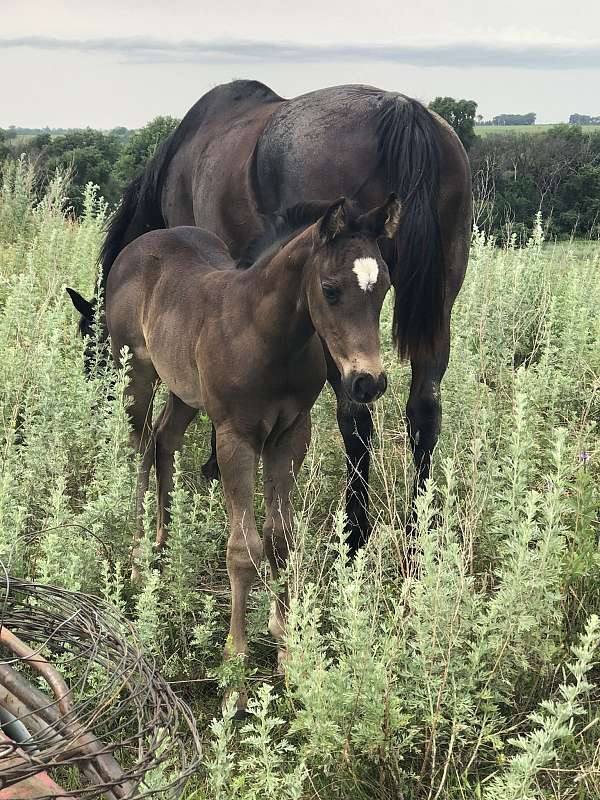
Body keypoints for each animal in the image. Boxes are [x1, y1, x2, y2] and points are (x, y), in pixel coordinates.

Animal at [68, 79, 472, 553]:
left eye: (89, 351)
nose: (101, 413)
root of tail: (402, 111)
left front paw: (212, 466)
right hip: (439, 304)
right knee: (424, 409)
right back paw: (416, 531)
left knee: (356, 417)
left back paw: (355, 532)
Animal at [104, 195, 399, 712]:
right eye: (330, 289)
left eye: (382, 286)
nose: (368, 382)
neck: (266, 335)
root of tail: (142, 243)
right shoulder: (235, 438)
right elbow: (244, 549)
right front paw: (236, 673)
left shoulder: (290, 435)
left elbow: (280, 537)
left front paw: (287, 648)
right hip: (135, 373)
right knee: (139, 448)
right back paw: (140, 562)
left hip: (184, 389)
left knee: (164, 440)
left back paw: (165, 541)